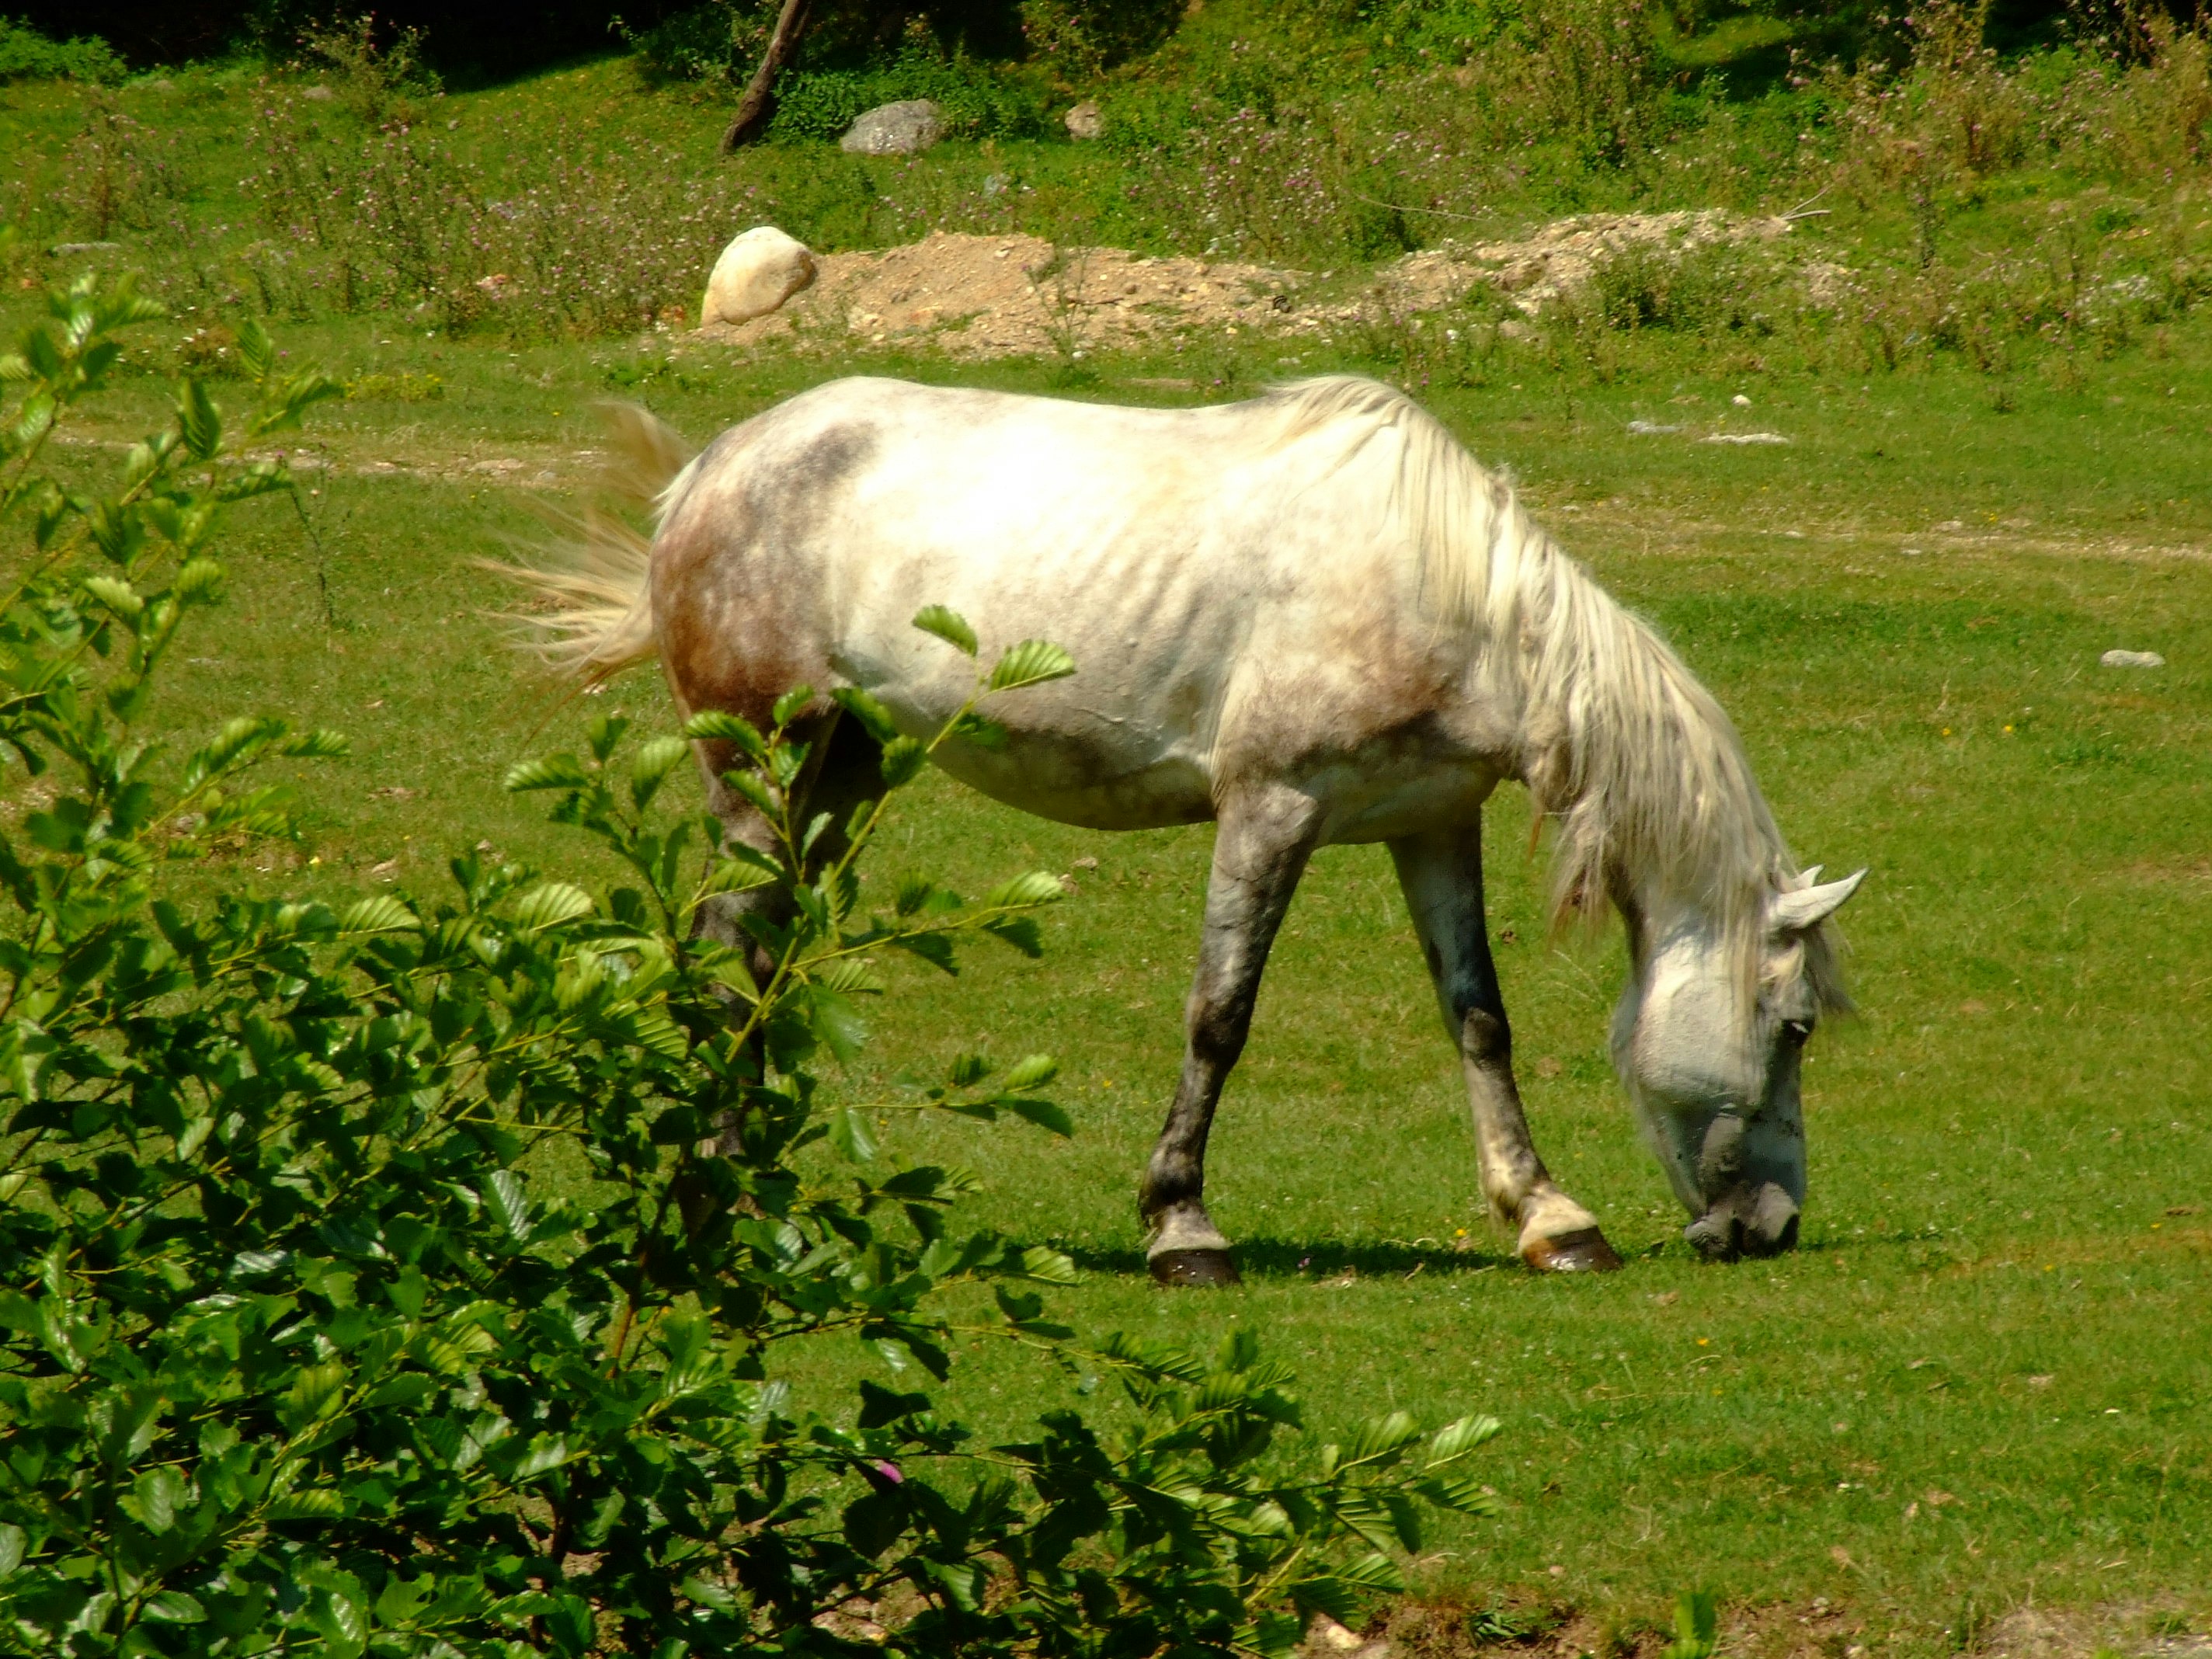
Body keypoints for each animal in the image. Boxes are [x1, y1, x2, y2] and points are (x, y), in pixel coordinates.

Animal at [512, 374, 1864, 1284]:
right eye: (1794, 1026)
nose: (1772, 1229)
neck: (1453, 599)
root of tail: (711, 468)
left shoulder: (1431, 825)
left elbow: (1480, 1022)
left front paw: (1550, 1219)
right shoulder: (1270, 809)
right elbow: (1221, 1016)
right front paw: (1182, 1228)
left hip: (842, 776)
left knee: (769, 960)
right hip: (765, 769)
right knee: (730, 962)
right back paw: (721, 1194)